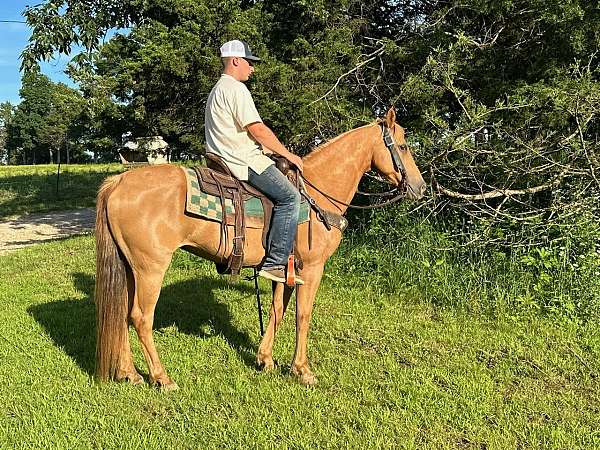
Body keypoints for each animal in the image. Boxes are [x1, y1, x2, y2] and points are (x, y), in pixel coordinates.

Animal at [95, 107, 426, 388]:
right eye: (403, 146)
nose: (420, 187)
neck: (317, 193)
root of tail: (119, 182)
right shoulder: (313, 268)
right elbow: (303, 315)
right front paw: (302, 370)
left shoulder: (287, 270)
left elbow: (277, 309)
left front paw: (265, 359)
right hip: (151, 267)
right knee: (140, 317)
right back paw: (162, 377)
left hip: (130, 267)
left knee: (122, 313)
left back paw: (129, 373)